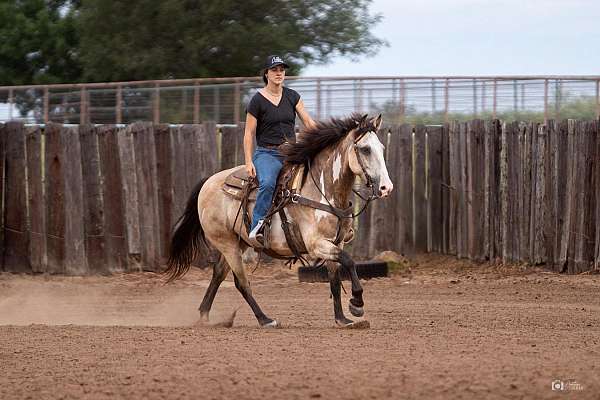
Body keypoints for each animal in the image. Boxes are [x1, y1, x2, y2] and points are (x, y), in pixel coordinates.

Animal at [165, 113, 394, 328]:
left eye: (382, 148)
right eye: (365, 149)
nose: (386, 188)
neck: (323, 190)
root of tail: (208, 182)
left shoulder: (335, 242)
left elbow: (335, 279)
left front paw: (342, 319)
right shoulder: (316, 244)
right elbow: (349, 260)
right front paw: (357, 304)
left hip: (238, 242)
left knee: (219, 274)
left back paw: (204, 316)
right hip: (226, 243)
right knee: (241, 283)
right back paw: (265, 319)